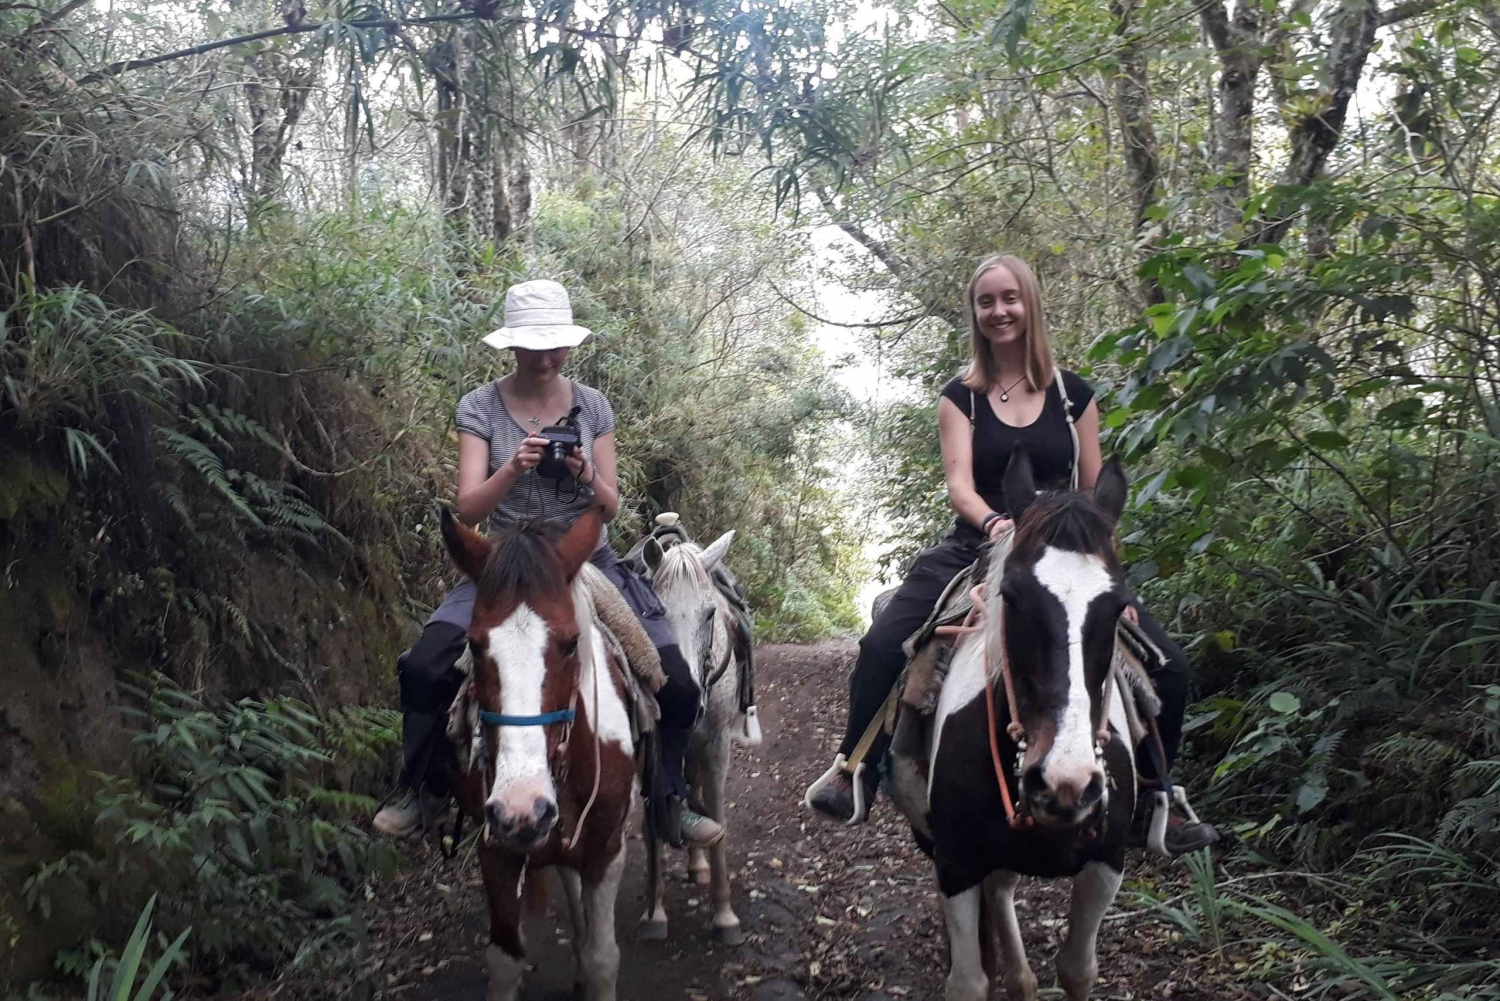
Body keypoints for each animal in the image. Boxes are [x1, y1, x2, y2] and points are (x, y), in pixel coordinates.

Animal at [439, 505, 637, 1001]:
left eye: (569, 643)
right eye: (474, 644)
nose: (521, 807)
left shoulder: (607, 847)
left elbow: (604, 959)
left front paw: (591, 966)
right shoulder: (495, 849)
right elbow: (505, 960)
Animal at [638, 528, 757, 944]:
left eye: (709, 614)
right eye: (653, 611)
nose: (684, 701)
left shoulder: (717, 744)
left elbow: (718, 816)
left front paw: (725, 915)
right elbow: (652, 822)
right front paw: (655, 910)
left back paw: (698, 863)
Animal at [887, 450, 1136, 1001]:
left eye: (1117, 604)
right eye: (1013, 595)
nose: (1066, 782)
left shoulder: (1106, 863)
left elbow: (1078, 969)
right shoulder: (955, 863)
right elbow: (967, 981)